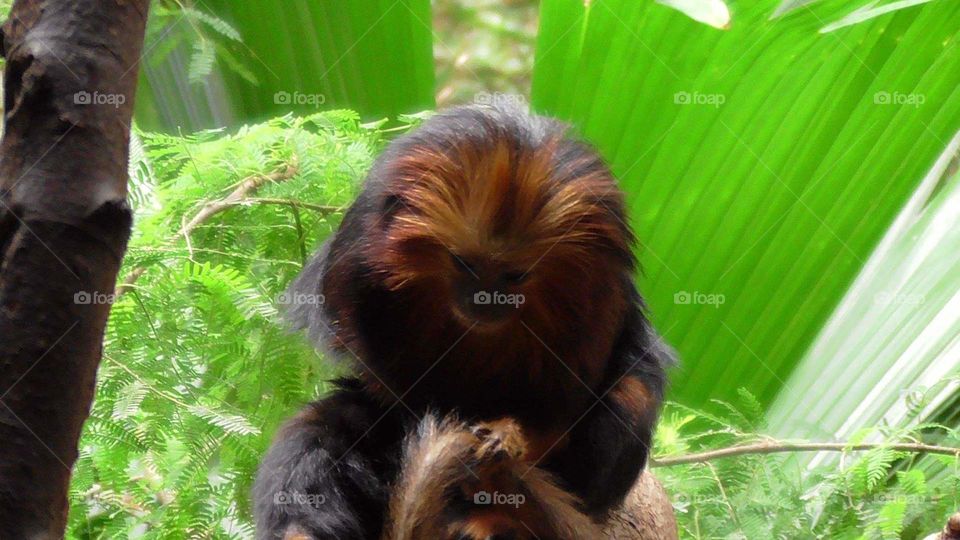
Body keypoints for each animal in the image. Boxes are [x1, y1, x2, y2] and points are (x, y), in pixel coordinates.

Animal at [253, 103, 674, 539]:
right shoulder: (355, 266)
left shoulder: (601, 302)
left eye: (514, 275)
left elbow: (574, 402)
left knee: (630, 396)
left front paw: (509, 438)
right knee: (331, 423)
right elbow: (385, 391)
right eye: (464, 264)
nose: (485, 301)